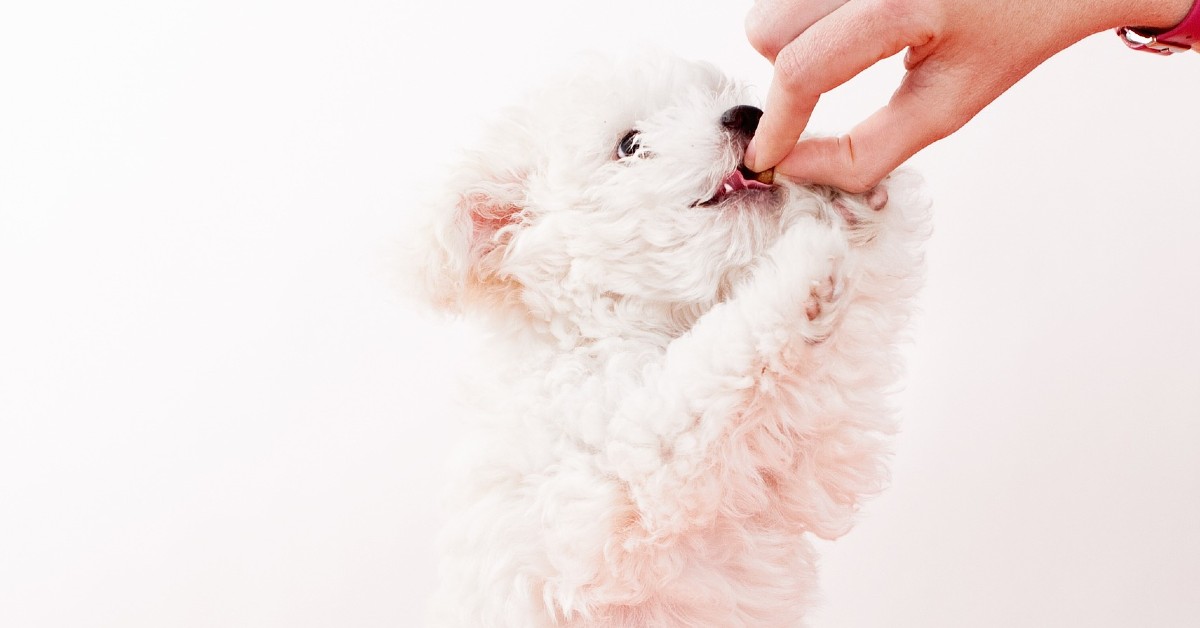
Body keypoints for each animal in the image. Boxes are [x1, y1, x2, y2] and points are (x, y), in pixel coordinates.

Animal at [417, 55, 931, 628]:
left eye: (717, 94)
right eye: (629, 144)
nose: (747, 115)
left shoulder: (802, 458)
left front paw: (851, 202)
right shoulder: (616, 480)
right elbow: (709, 372)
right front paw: (800, 266)